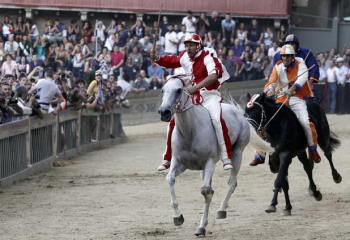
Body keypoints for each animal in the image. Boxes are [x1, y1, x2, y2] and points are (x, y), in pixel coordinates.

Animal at [159, 76, 274, 236]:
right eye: (163, 90)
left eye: (178, 90)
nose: (163, 112)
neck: (190, 131)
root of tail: (239, 114)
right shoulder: (180, 163)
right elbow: (170, 179)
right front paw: (178, 217)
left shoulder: (210, 162)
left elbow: (205, 191)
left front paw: (202, 226)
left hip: (237, 154)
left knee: (232, 183)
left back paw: (222, 210)